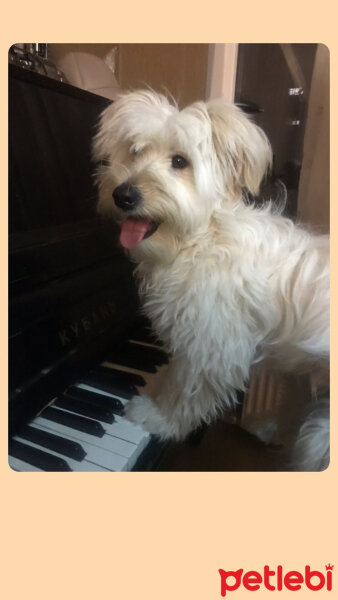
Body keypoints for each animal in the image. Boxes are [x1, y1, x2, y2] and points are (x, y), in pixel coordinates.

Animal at [92, 89, 328, 468]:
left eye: (180, 161)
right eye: (135, 151)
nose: (123, 195)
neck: (202, 238)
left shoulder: (213, 349)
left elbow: (187, 393)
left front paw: (158, 417)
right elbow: (174, 375)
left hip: (321, 433)